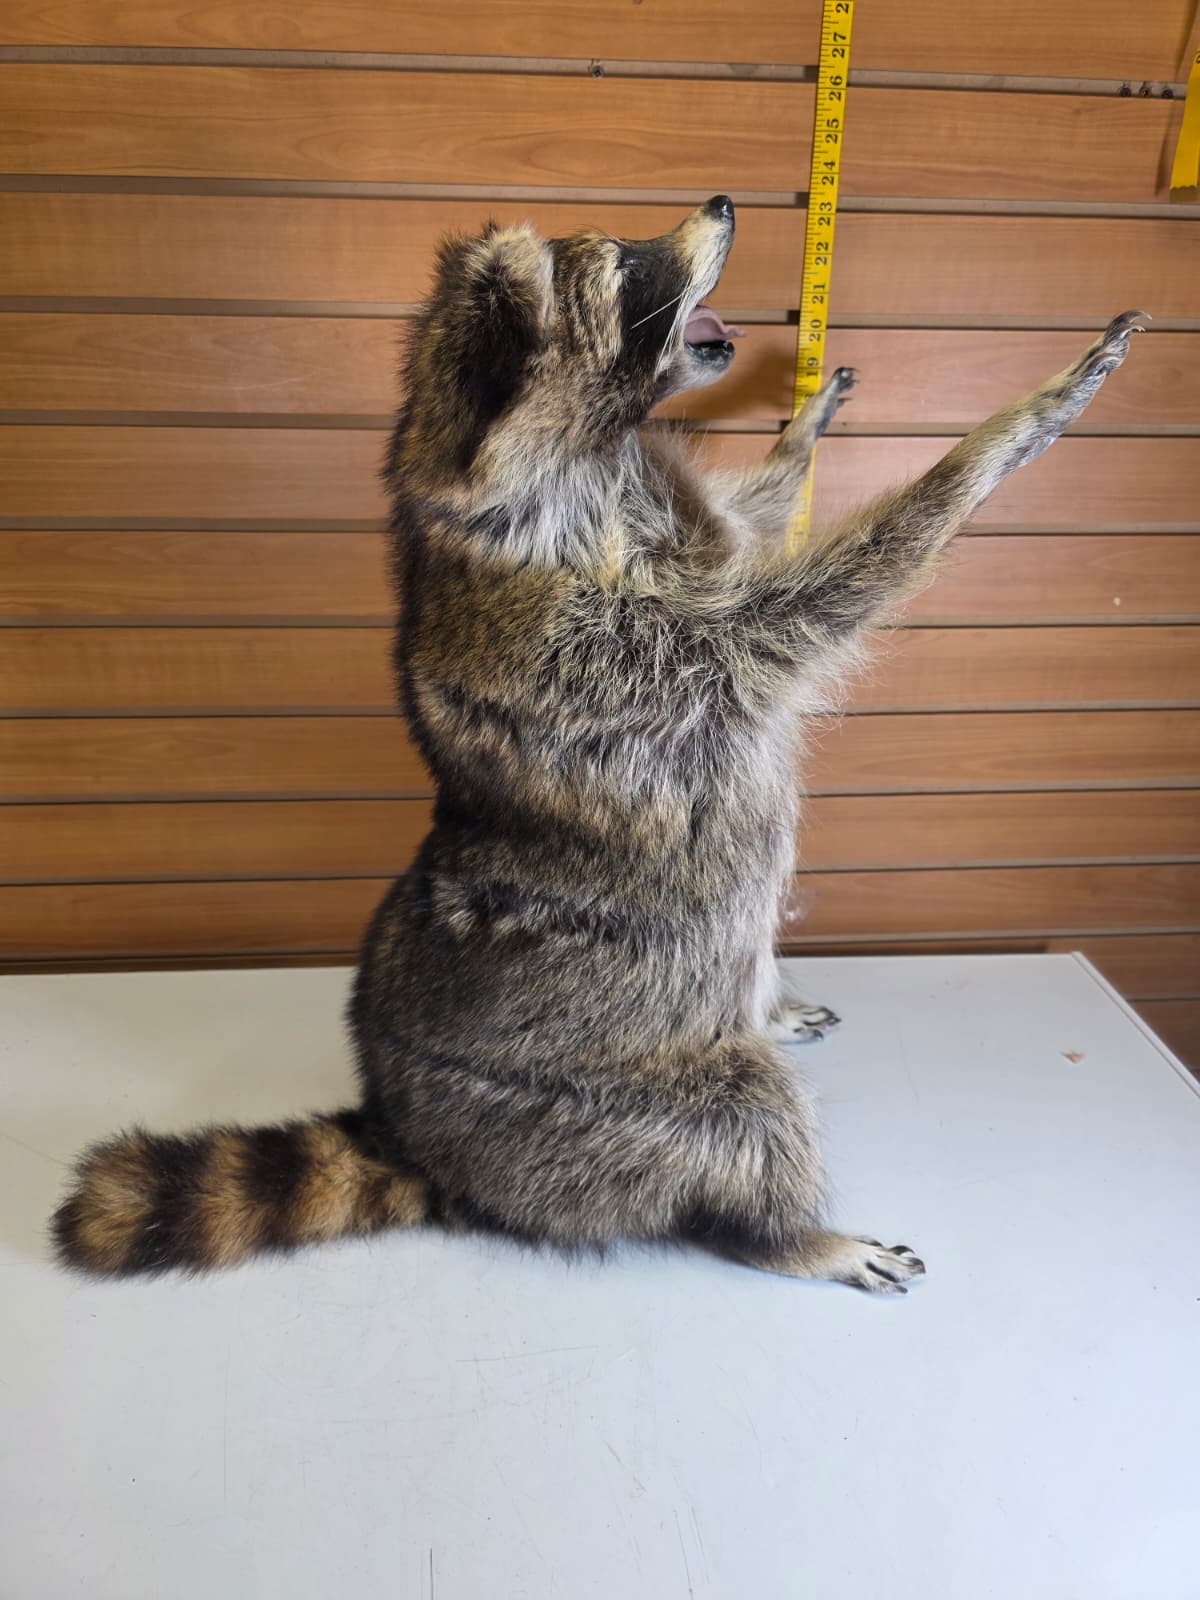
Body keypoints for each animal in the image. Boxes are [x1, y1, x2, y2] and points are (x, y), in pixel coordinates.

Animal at [53, 196, 1144, 1290]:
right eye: (627, 269)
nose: (723, 204)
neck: (584, 456)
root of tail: (419, 1143)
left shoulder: (671, 540)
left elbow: (750, 518)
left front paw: (802, 426)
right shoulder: (618, 642)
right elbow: (835, 586)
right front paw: (1007, 434)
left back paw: (766, 1004)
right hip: (608, 1108)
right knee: (744, 1124)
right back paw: (794, 1232)